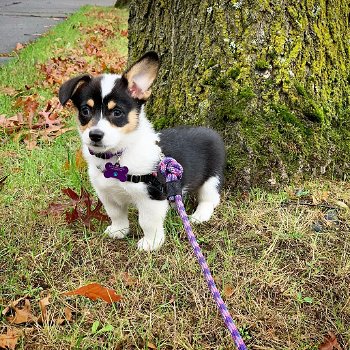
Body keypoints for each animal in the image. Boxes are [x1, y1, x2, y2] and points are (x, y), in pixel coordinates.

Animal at [58, 50, 226, 250]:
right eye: (85, 110)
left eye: (117, 112)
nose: (95, 135)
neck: (118, 156)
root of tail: (212, 132)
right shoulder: (107, 194)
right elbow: (116, 214)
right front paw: (118, 231)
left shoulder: (151, 197)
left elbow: (147, 222)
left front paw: (151, 243)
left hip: (212, 177)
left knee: (210, 198)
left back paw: (200, 215)